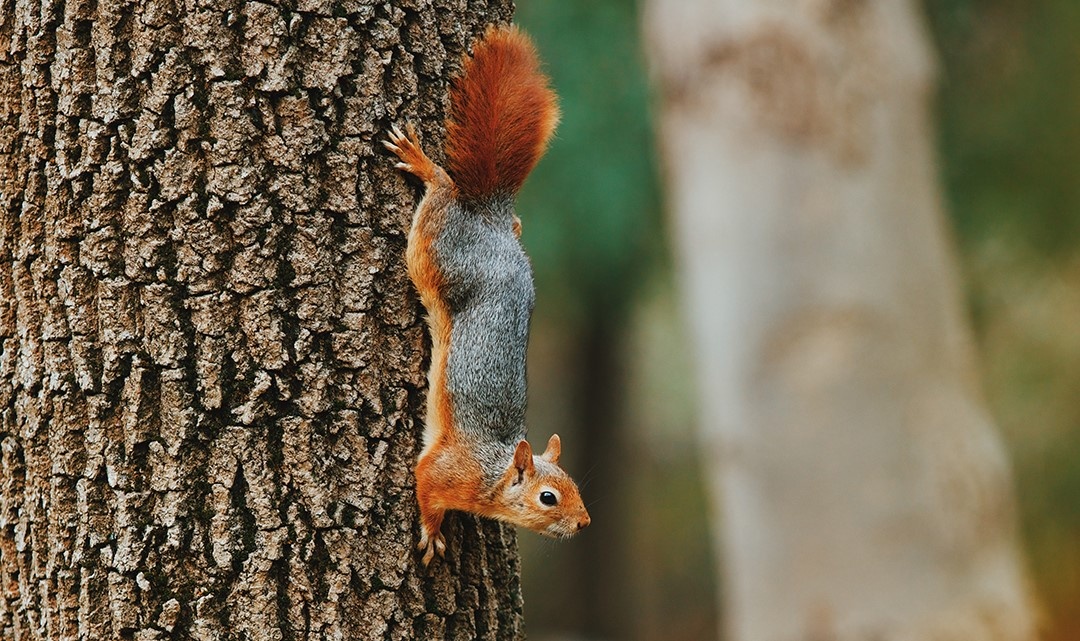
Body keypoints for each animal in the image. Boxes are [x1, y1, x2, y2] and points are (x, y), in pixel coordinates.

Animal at [384, 26, 591, 565]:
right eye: (548, 497)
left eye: (575, 485)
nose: (584, 522)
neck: (494, 474)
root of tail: (491, 221)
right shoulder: (443, 468)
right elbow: (424, 487)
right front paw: (432, 532)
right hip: (436, 252)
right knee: (441, 191)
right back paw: (425, 166)